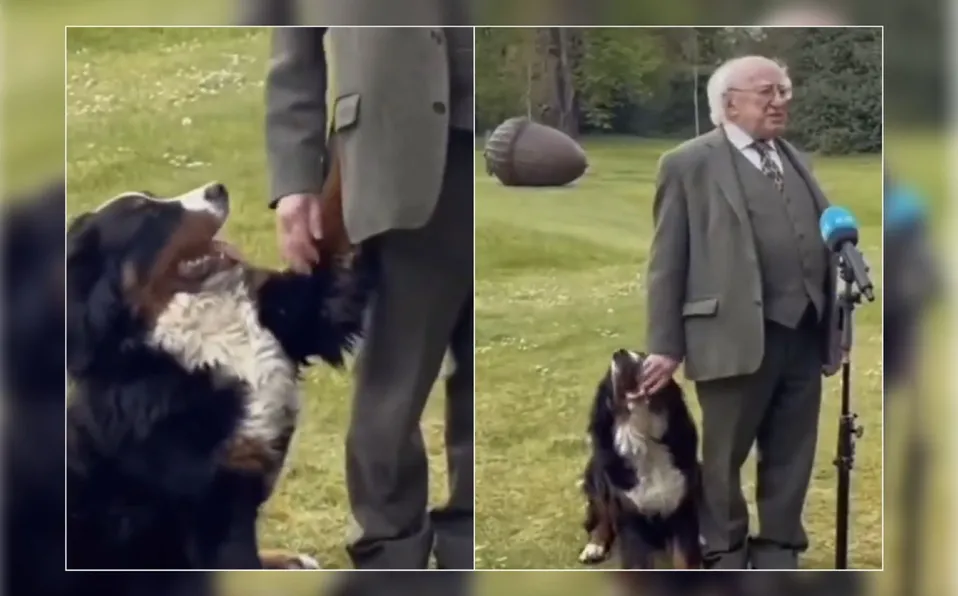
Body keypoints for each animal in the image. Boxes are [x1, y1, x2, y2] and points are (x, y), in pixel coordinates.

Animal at [576, 352, 704, 572]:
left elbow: (685, 556)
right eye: (608, 374)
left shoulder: (682, 508)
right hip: (597, 479)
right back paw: (594, 547)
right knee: (602, 516)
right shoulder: (630, 517)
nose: (620, 353)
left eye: (643, 355)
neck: (644, 440)